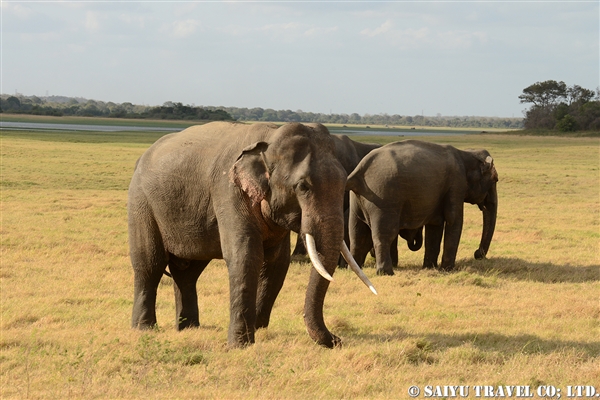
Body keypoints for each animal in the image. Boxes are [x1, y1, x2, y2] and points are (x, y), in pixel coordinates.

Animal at [128, 120, 372, 348]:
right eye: (303, 187)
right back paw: (144, 328)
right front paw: (240, 344)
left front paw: (259, 329)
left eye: (343, 183)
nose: (337, 339)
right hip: (141, 203)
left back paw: (189, 327)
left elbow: (277, 262)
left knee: (187, 272)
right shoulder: (229, 190)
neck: (269, 138)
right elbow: (245, 256)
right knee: (149, 264)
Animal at [346, 140, 496, 276]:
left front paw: (430, 268)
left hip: (358, 199)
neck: (466, 153)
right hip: (383, 197)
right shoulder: (456, 184)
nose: (477, 254)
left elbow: (435, 225)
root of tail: (357, 172)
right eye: (495, 180)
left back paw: (355, 270)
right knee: (385, 235)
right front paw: (447, 270)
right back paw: (386, 273)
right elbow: (454, 220)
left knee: (357, 235)